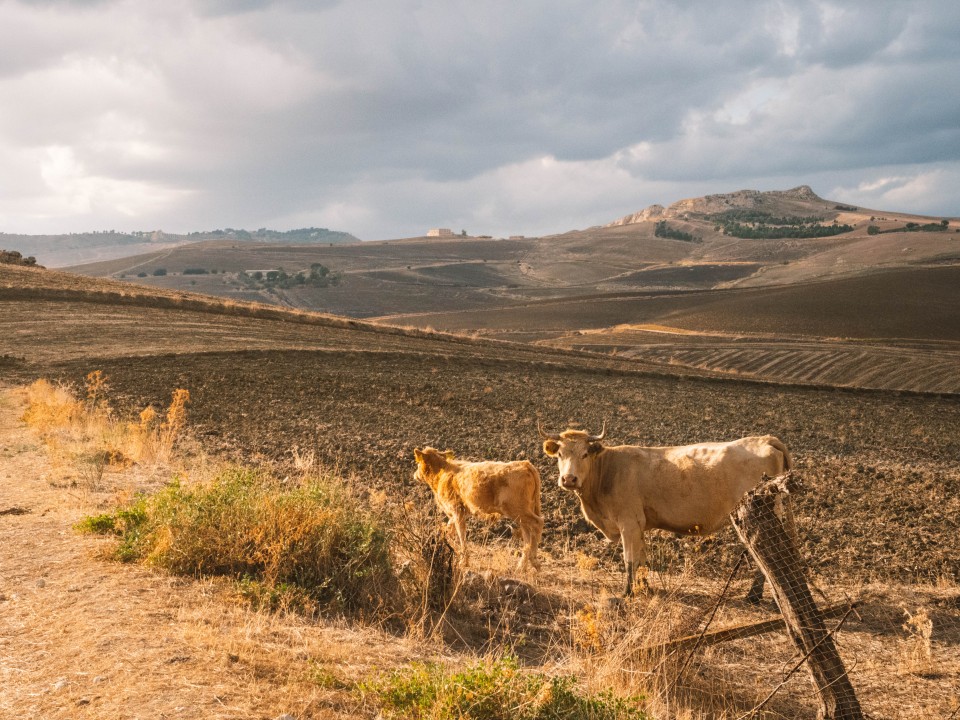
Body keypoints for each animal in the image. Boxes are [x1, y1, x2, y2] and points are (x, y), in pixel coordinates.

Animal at [412, 448, 544, 572]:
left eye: (418, 462)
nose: (415, 474)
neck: (441, 472)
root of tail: (525, 464)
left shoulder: (456, 510)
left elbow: (461, 535)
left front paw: (464, 561)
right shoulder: (462, 511)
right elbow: (449, 527)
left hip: (517, 509)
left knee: (537, 523)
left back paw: (534, 561)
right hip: (522, 512)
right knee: (527, 533)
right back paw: (523, 565)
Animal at [544, 424, 792, 600]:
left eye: (585, 454)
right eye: (560, 455)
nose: (569, 479)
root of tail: (764, 439)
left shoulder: (628, 522)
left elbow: (630, 559)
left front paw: (627, 593)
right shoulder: (638, 524)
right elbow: (642, 559)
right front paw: (644, 588)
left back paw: (753, 596)